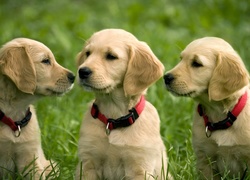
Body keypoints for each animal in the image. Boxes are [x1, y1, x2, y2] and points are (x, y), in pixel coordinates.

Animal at [75, 28, 171, 179]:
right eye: (88, 53)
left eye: (111, 56)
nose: (82, 71)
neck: (113, 120)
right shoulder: (88, 163)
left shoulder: (139, 167)